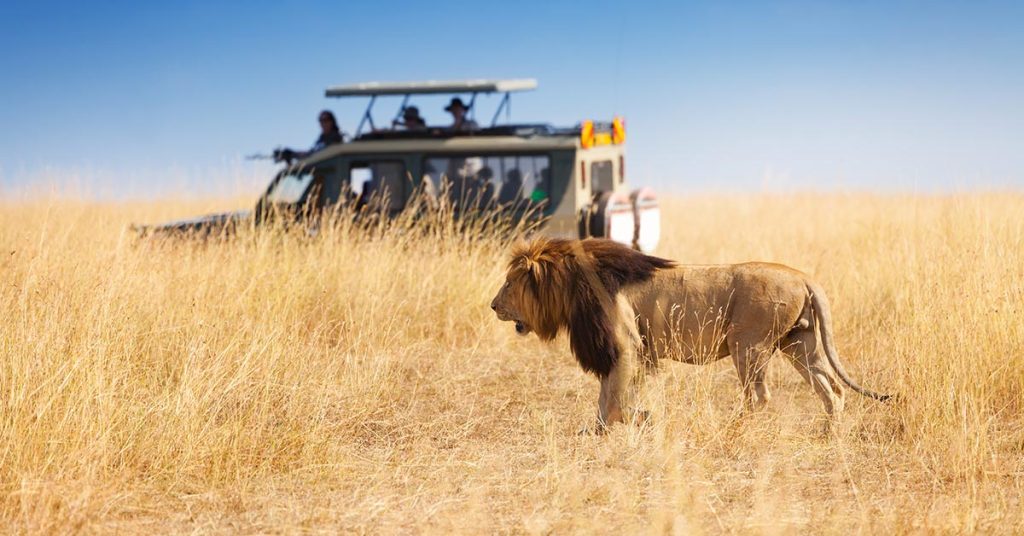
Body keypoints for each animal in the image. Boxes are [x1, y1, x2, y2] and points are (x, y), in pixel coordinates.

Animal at [490, 237, 892, 430]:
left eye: (509, 283)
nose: (493, 305)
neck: (571, 285)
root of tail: (804, 276)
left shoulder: (626, 345)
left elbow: (615, 399)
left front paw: (636, 421)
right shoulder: (626, 351)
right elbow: (607, 397)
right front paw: (602, 430)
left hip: (748, 345)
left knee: (759, 396)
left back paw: (735, 428)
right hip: (799, 344)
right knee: (832, 389)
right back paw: (828, 434)